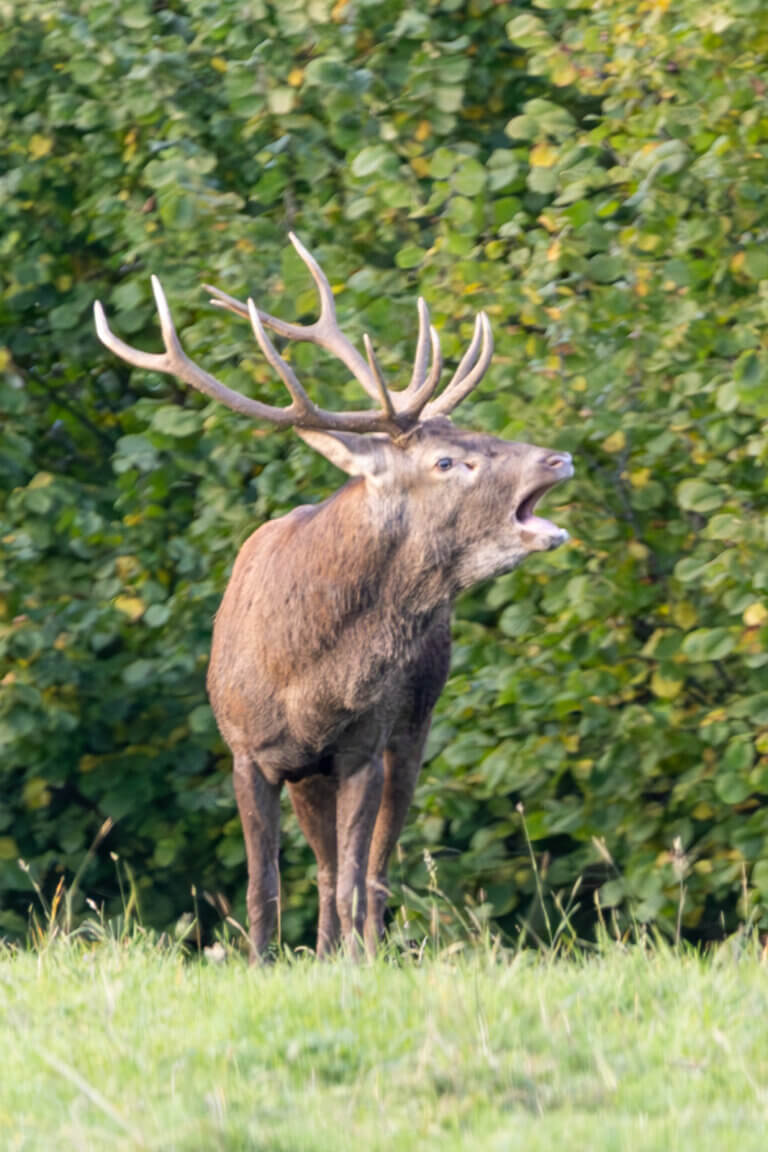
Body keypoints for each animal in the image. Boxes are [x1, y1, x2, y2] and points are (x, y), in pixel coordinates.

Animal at [94, 234, 574, 960]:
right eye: (446, 460)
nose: (557, 459)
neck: (307, 678)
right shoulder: (248, 751)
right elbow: (264, 887)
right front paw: (261, 963)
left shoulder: (362, 746)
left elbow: (356, 877)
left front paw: (355, 963)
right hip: (311, 774)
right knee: (322, 871)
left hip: (414, 725)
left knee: (371, 869)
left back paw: (360, 950)